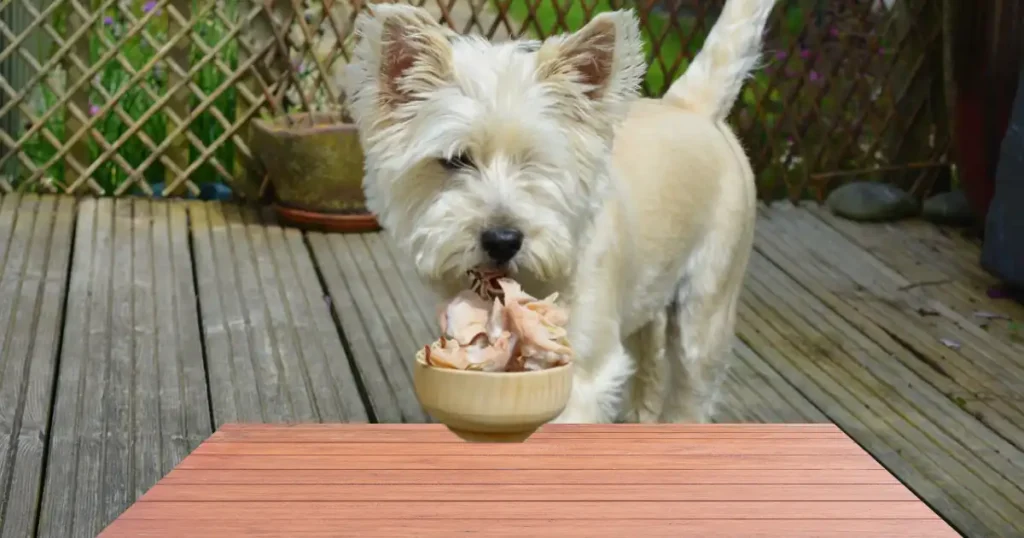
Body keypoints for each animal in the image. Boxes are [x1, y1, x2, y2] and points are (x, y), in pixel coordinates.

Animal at [344, 0, 774, 424]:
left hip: (706, 306)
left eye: (535, 161)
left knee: (690, 386)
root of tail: (690, 107)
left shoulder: (584, 373)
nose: (503, 240)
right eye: (455, 160)